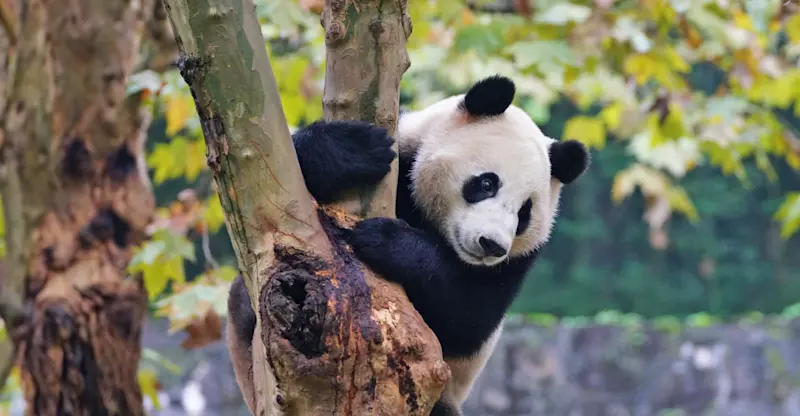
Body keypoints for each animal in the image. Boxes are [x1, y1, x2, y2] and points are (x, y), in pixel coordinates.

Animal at [226, 75, 589, 415]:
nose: (492, 245)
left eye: (524, 212)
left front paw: (385, 239)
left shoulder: (519, 261)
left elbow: (468, 314)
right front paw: (351, 150)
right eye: (487, 183)